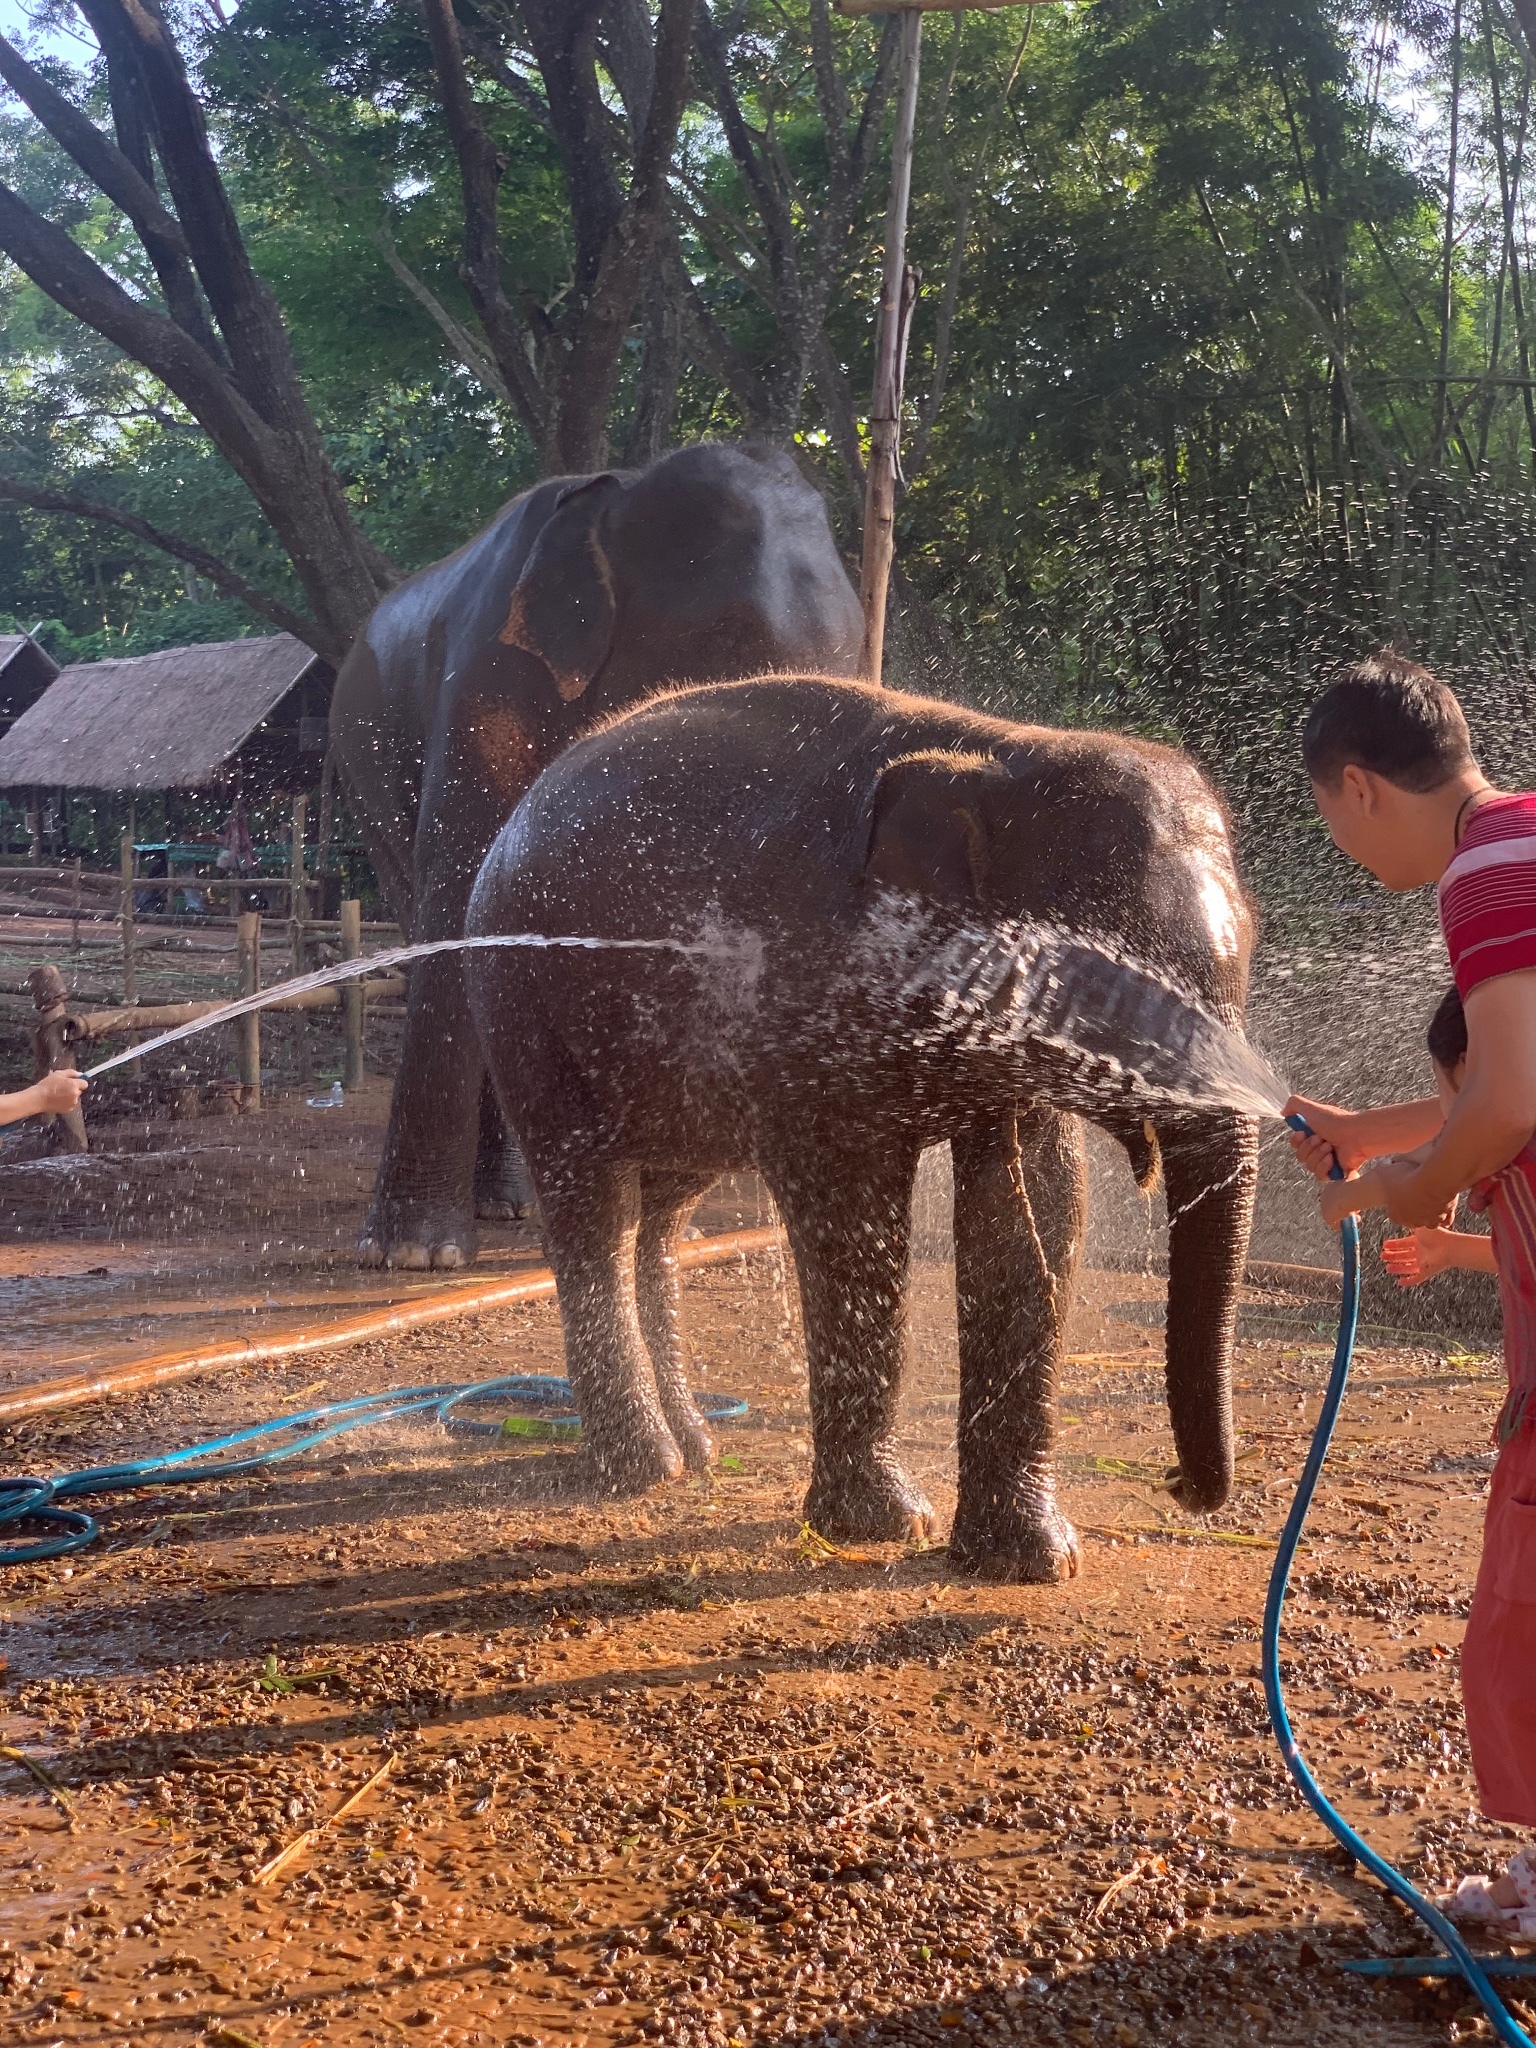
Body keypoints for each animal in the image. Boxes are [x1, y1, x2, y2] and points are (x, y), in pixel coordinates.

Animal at [329, 444, 868, 1261]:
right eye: (735, 653)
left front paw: (651, 1222)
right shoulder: (487, 686)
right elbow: (465, 901)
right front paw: (415, 1254)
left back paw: (514, 1205)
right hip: (365, 773)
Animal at [466, 671, 1261, 1581]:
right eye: (1110, 992)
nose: (1179, 1486)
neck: (1001, 756)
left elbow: (1037, 1223)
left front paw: (1032, 1559)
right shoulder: (821, 1006)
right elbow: (857, 1221)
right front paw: (886, 1526)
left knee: (662, 1211)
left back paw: (694, 1449)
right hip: (520, 1003)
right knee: (590, 1202)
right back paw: (643, 1470)